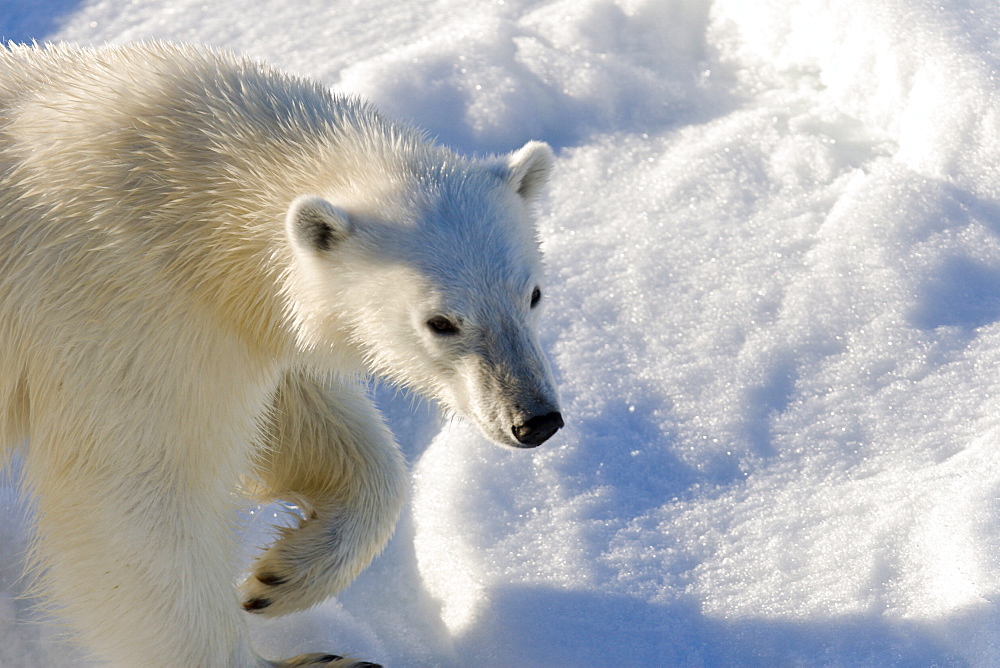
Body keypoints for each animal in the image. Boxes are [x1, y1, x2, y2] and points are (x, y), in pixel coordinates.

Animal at [0, 44, 564, 664]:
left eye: (532, 293)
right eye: (440, 322)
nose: (535, 419)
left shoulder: (228, 318)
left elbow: (301, 423)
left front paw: (282, 577)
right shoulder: (120, 306)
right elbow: (130, 503)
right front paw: (319, 659)